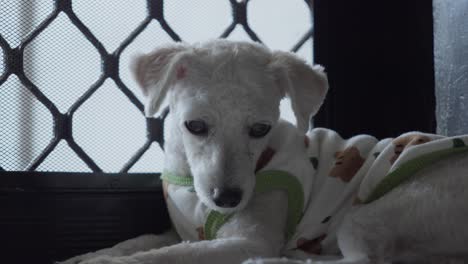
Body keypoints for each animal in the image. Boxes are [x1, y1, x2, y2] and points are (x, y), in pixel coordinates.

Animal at [62, 39, 468, 264]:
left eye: (260, 129)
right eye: (195, 126)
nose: (227, 199)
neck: (189, 182)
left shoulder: (247, 240)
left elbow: (174, 255)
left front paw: (106, 263)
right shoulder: (178, 231)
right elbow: (142, 241)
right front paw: (88, 256)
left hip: (372, 213)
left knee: (364, 260)